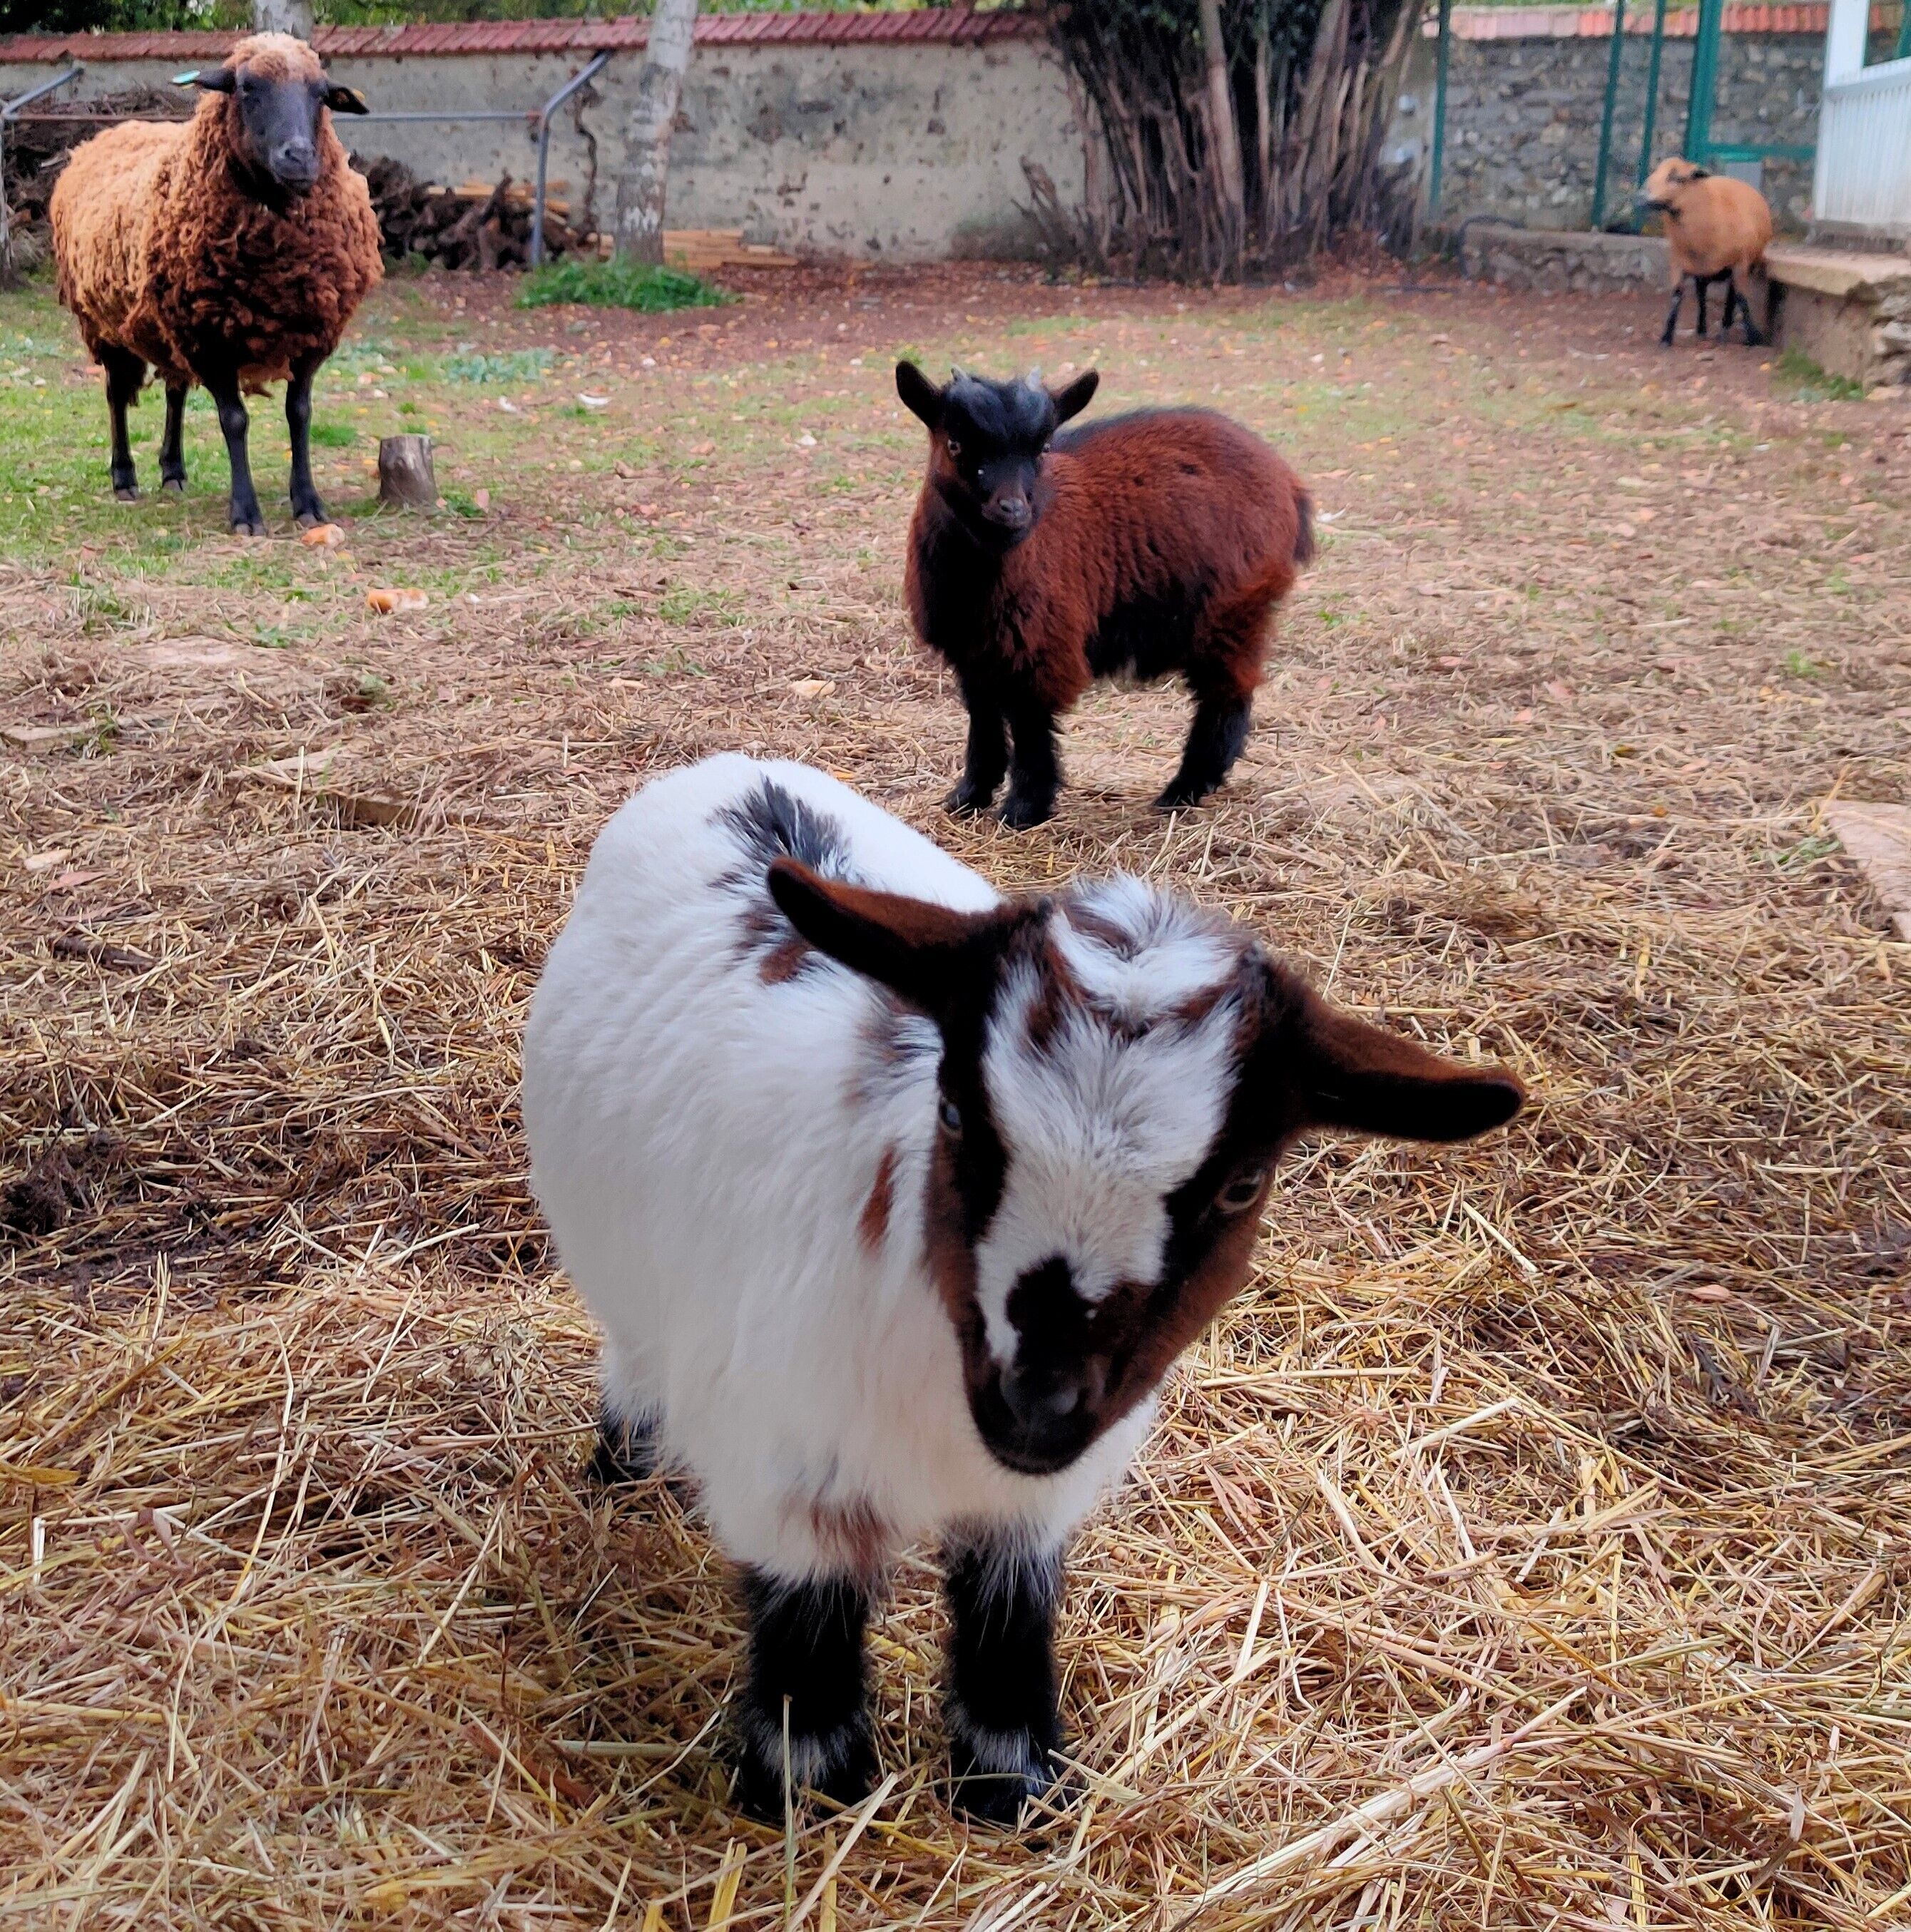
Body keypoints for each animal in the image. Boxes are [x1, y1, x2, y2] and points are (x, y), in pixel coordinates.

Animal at [49, 33, 381, 534]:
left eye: (322, 94)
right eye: (246, 87)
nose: (301, 157)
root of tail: (101, 136)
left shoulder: (312, 333)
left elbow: (300, 414)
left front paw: (308, 502)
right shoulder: (210, 337)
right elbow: (234, 420)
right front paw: (245, 513)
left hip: (166, 325)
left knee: (174, 391)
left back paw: (173, 470)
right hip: (104, 323)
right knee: (115, 395)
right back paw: (124, 476)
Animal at [521, 753, 1526, 1825]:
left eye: (1241, 1184)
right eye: (958, 1113)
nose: (1037, 1404)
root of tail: (737, 768)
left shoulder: (1036, 1498)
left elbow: (1007, 1612)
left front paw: (1014, 1785)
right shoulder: (789, 1470)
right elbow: (809, 1633)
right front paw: (805, 1796)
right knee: (636, 1348)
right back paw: (626, 1463)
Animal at [895, 362, 1313, 829]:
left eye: (1043, 449)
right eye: (955, 444)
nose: (1014, 511)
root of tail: (1289, 485)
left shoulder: (1042, 644)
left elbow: (1029, 723)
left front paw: (1024, 809)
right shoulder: (971, 651)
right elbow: (982, 719)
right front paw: (967, 797)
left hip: (1233, 610)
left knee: (1224, 698)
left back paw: (1183, 790)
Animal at [1640, 158, 1773, 349]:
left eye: (1677, 178)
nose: (1641, 196)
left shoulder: (1740, 264)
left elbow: (1742, 298)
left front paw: (1753, 338)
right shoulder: (1678, 263)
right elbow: (1676, 297)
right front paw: (1666, 338)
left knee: (1731, 294)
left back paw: (1725, 327)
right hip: (1701, 271)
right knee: (1702, 294)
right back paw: (1702, 328)